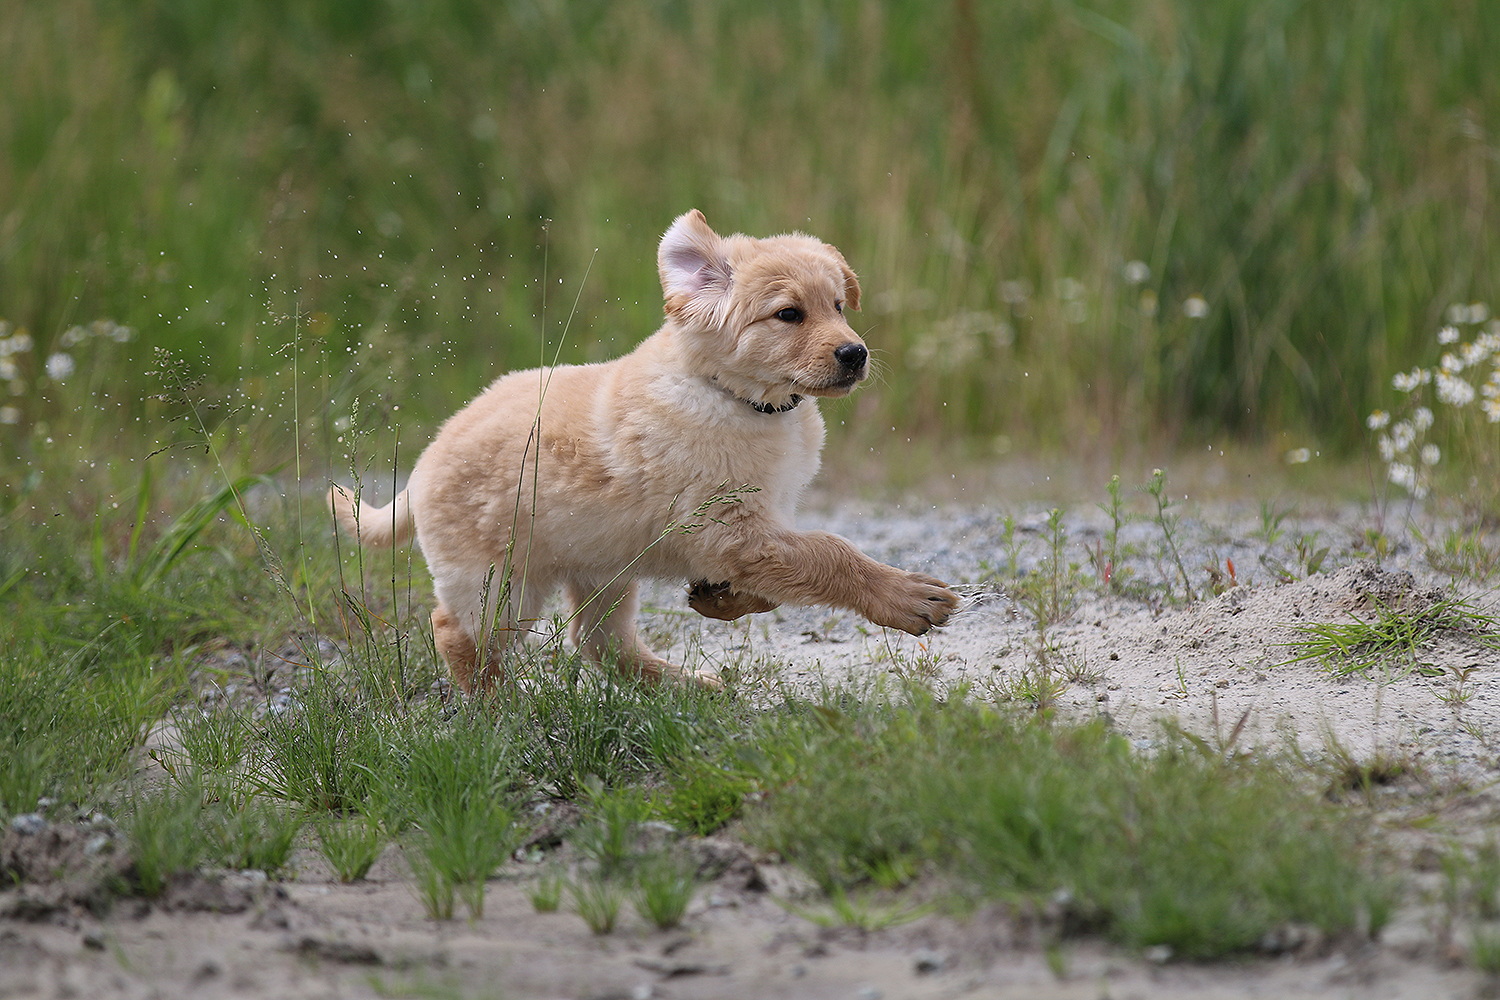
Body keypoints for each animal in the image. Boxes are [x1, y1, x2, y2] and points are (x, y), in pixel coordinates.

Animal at [329, 209, 959, 691]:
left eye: (838, 307)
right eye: (788, 315)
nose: (856, 354)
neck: (737, 399)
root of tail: (425, 459)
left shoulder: (750, 532)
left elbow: (782, 573)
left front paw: (721, 599)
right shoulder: (734, 530)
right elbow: (828, 552)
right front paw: (907, 596)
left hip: (602, 567)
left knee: (599, 644)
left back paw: (690, 687)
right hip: (499, 579)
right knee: (458, 634)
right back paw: (498, 709)